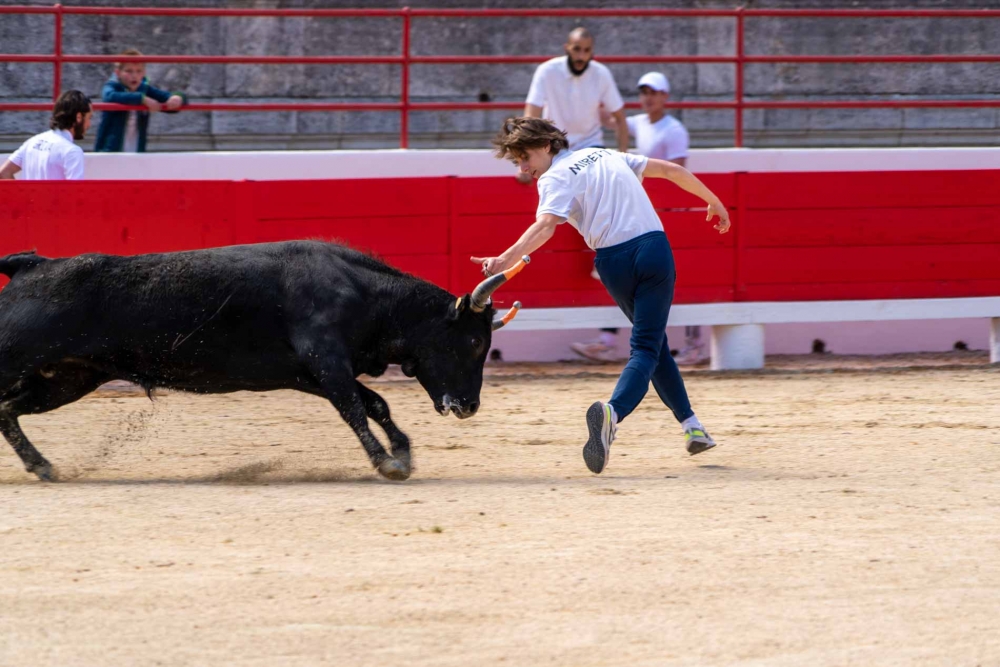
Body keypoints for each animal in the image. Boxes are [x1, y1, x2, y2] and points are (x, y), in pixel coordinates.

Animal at [0, 243, 528, 482]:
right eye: (474, 343)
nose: (468, 406)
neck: (364, 295)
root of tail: (33, 266)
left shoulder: (313, 373)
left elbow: (375, 404)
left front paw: (402, 451)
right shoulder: (326, 362)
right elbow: (356, 410)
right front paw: (386, 461)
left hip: (69, 378)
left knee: (7, 410)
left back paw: (43, 466)